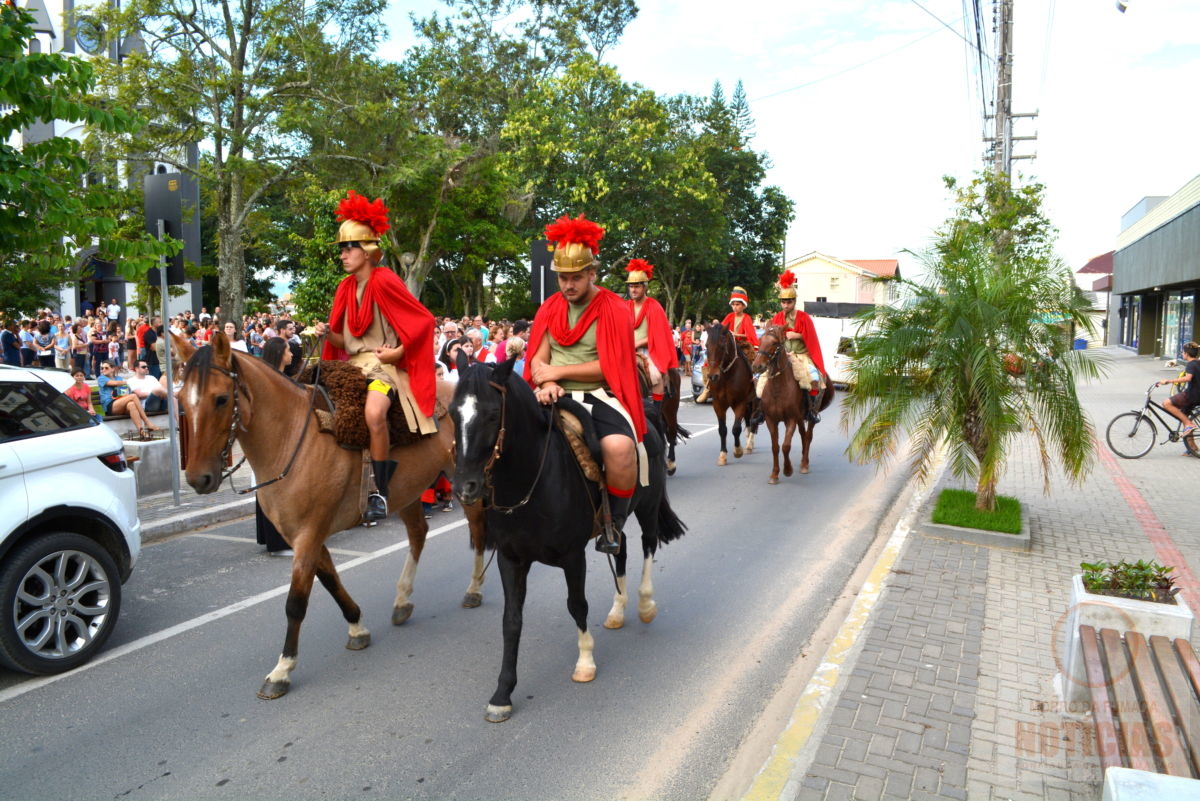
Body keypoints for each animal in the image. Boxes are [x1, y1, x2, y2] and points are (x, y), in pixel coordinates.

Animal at [172, 330, 487, 695]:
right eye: (181, 399)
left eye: (221, 399)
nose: (199, 478)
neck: (291, 438)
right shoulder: (304, 535)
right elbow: (331, 582)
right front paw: (357, 627)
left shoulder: (308, 536)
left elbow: (296, 602)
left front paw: (282, 669)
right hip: (408, 490)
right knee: (418, 533)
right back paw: (402, 599)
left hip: (463, 480)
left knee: (477, 528)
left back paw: (474, 590)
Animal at [451, 359, 686, 724]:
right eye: (451, 413)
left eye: (491, 414)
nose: (465, 487)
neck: (530, 481)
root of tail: (648, 410)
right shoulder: (510, 559)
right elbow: (511, 620)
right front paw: (502, 693)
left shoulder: (573, 556)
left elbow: (577, 605)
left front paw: (585, 662)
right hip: (613, 524)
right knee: (621, 547)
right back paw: (618, 611)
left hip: (647, 506)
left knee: (648, 545)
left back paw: (645, 605)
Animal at [700, 321, 758, 465]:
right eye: (707, 345)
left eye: (722, 345)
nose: (713, 376)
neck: (727, 375)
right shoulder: (718, 404)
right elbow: (722, 429)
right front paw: (722, 455)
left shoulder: (740, 403)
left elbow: (736, 428)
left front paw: (738, 451)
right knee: (748, 421)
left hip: (754, 401)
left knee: (753, 421)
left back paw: (749, 444)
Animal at [748, 323, 835, 482]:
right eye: (760, 340)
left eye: (774, 343)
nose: (757, 366)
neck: (778, 389)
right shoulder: (771, 420)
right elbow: (775, 447)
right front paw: (774, 474)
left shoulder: (791, 419)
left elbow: (785, 446)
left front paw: (787, 470)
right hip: (800, 417)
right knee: (803, 435)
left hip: (810, 415)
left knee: (808, 435)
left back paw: (805, 464)